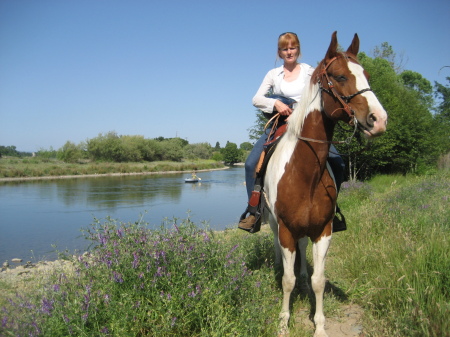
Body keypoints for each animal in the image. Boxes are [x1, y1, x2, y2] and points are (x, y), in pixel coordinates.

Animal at [264, 30, 386, 334]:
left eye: (366, 74)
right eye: (340, 76)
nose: (379, 120)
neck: (304, 174)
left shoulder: (323, 230)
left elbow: (319, 280)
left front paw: (319, 326)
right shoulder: (285, 229)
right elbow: (286, 281)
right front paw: (283, 323)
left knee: (302, 250)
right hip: (272, 222)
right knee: (277, 247)